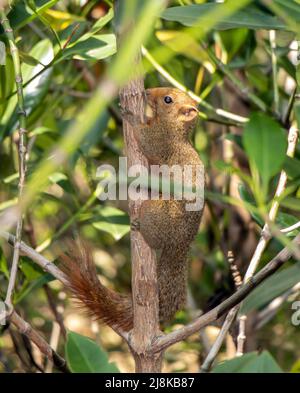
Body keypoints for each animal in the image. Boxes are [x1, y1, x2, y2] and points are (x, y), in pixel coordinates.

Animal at [61, 88, 205, 330]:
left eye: (168, 99)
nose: (147, 91)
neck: (175, 129)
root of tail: (180, 245)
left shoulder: (159, 140)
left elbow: (144, 137)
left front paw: (132, 117)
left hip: (155, 212)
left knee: (153, 236)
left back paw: (138, 226)